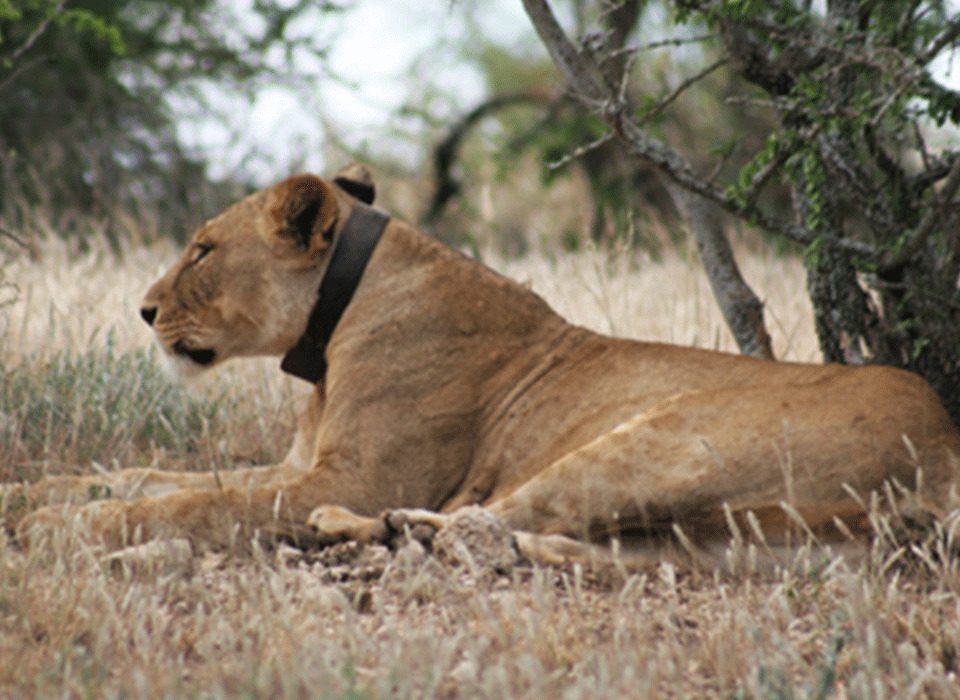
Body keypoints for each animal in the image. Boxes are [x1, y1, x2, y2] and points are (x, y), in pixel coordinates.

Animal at [4, 165, 959, 567]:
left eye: (202, 250)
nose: (143, 309)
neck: (327, 342)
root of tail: (944, 450)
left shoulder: (343, 476)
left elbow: (191, 501)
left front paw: (59, 528)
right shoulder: (297, 463)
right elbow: (149, 474)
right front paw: (33, 495)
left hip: (662, 439)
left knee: (479, 519)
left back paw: (357, 531)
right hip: (742, 553)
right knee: (540, 541)